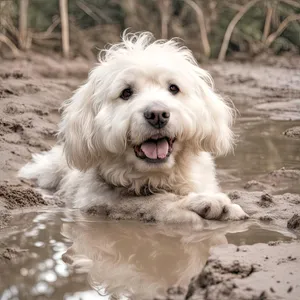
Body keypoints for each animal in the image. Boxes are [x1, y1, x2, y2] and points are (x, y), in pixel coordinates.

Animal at [19, 31, 248, 224]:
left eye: (173, 88)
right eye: (126, 92)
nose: (157, 115)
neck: (156, 179)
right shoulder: (97, 201)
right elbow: (148, 202)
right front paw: (198, 203)